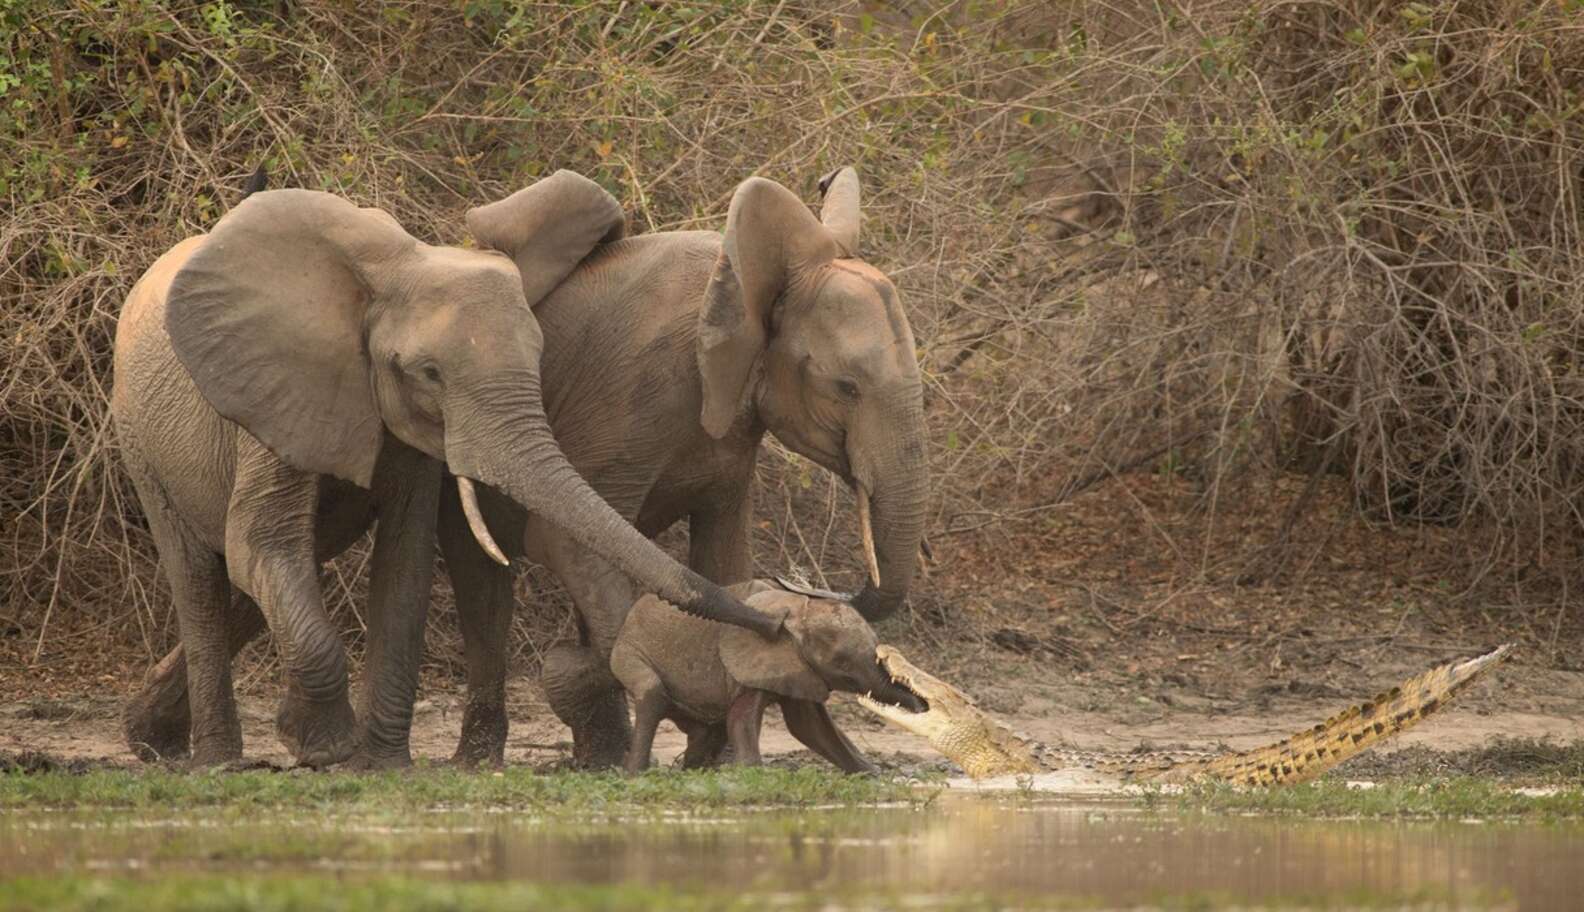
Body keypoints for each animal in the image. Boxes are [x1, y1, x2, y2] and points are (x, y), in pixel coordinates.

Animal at [113, 172, 785, 769]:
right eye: (428, 373)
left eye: (539, 357)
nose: (776, 621)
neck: (397, 268)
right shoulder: (273, 391)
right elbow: (261, 540)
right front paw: (321, 748)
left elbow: (403, 563)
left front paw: (381, 767)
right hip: (139, 435)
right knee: (202, 576)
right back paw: (210, 761)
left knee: (287, 567)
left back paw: (153, 737)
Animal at [608, 579, 925, 772]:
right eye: (842, 665)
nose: (924, 706)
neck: (798, 607)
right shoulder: (751, 663)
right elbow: (743, 717)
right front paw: (752, 774)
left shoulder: (798, 667)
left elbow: (811, 726)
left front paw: (872, 774)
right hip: (628, 652)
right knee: (651, 695)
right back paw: (635, 774)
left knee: (708, 732)